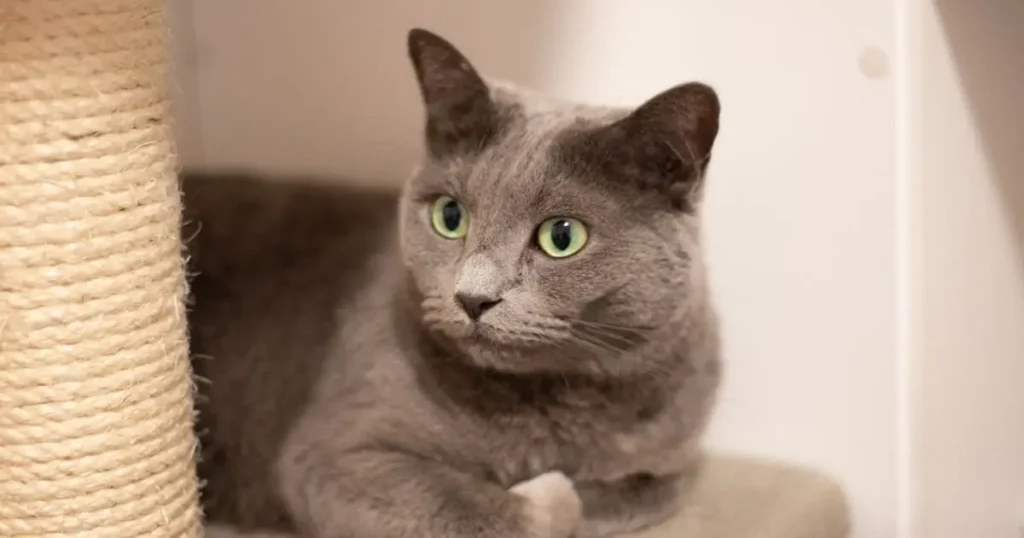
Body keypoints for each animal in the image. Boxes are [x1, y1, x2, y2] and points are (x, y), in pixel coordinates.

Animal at [188, 28, 724, 536]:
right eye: (450, 216)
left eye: (562, 236)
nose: (473, 297)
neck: (541, 401)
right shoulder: (332, 453)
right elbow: (484, 509)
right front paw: (548, 494)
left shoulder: (672, 464)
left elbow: (629, 494)